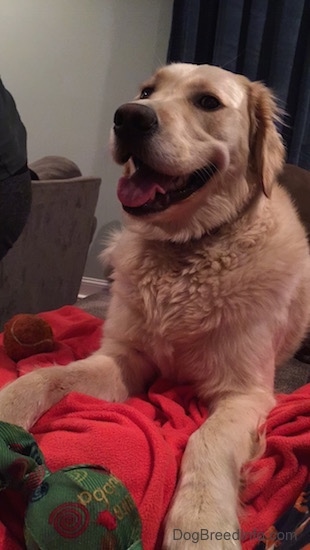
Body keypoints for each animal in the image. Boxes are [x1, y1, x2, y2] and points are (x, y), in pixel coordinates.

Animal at [0, 63, 310, 548]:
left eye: (207, 102)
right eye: (147, 91)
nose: (128, 117)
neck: (186, 253)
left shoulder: (246, 393)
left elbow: (206, 440)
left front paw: (201, 524)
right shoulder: (124, 358)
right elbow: (50, 374)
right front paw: (10, 404)